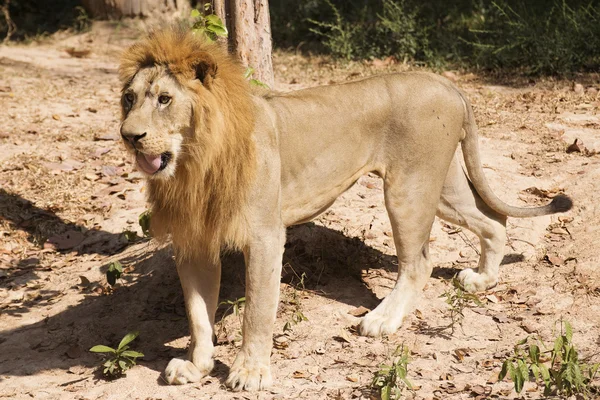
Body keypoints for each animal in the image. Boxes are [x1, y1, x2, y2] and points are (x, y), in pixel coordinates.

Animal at [117, 27, 572, 390]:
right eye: (128, 98)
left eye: (164, 99)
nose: (128, 136)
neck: (192, 163)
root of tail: (447, 83)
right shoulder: (194, 242)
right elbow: (197, 314)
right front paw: (196, 366)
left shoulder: (265, 236)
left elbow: (257, 311)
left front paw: (250, 372)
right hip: (441, 187)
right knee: (493, 221)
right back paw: (482, 280)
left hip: (408, 190)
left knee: (420, 262)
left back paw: (382, 321)